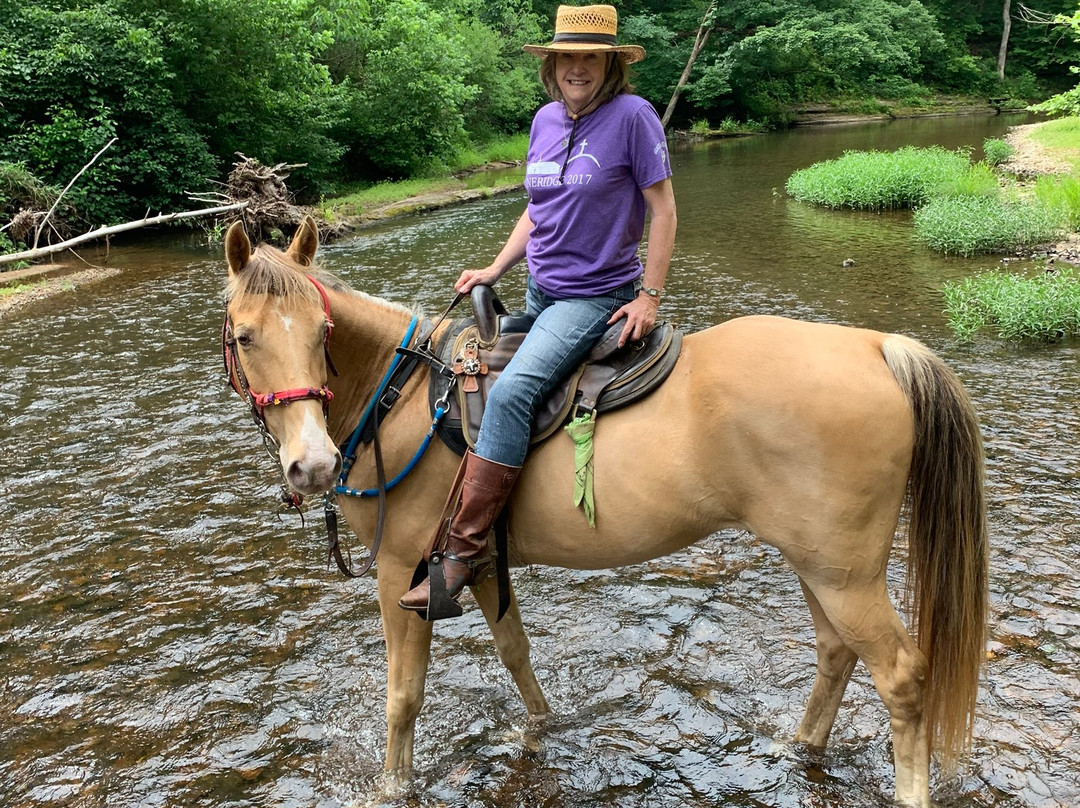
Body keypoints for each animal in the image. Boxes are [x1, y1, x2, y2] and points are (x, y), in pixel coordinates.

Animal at [220, 217, 988, 807]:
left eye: (321, 333)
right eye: (246, 336)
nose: (312, 465)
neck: (403, 397)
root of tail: (879, 347)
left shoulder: (401, 571)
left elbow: (403, 696)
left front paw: (391, 786)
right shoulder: (476, 557)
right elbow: (515, 652)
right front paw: (542, 726)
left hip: (844, 573)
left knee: (901, 675)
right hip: (819, 563)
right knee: (835, 651)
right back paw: (796, 746)